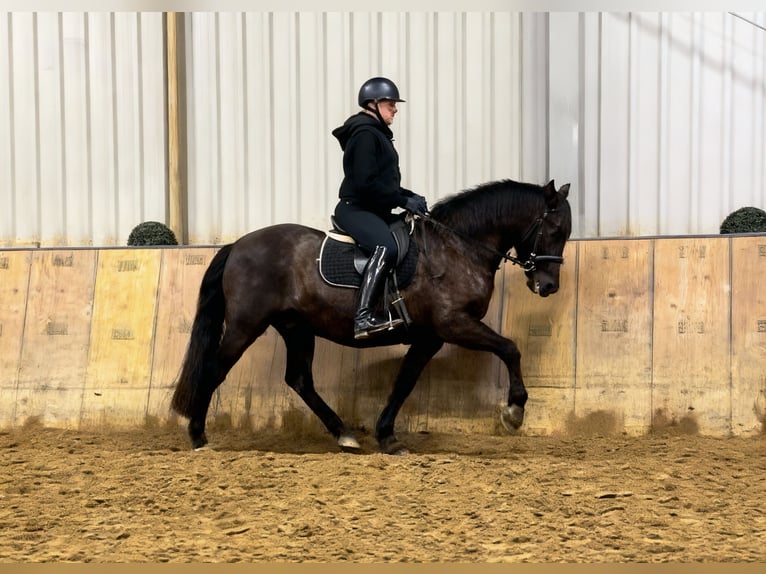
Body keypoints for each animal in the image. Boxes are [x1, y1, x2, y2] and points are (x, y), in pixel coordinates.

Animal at [171, 178, 572, 454]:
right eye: (554, 229)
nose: (549, 285)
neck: (457, 248)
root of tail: (238, 245)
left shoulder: (429, 337)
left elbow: (404, 382)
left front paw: (387, 436)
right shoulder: (454, 324)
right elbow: (510, 348)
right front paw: (514, 411)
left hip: (297, 327)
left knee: (299, 380)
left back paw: (344, 434)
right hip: (245, 325)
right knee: (215, 368)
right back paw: (198, 435)